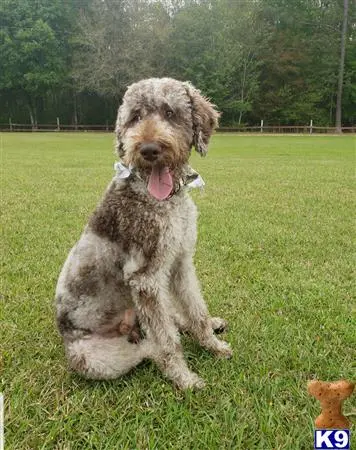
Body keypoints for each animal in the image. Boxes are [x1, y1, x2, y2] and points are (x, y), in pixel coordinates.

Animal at [55, 78, 232, 390]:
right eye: (135, 117)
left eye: (170, 113)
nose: (148, 149)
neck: (163, 200)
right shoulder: (145, 279)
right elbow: (168, 341)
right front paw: (185, 379)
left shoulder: (180, 263)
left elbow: (196, 310)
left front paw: (213, 344)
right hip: (94, 358)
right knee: (151, 345)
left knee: (172, 318)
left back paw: (211, 323)